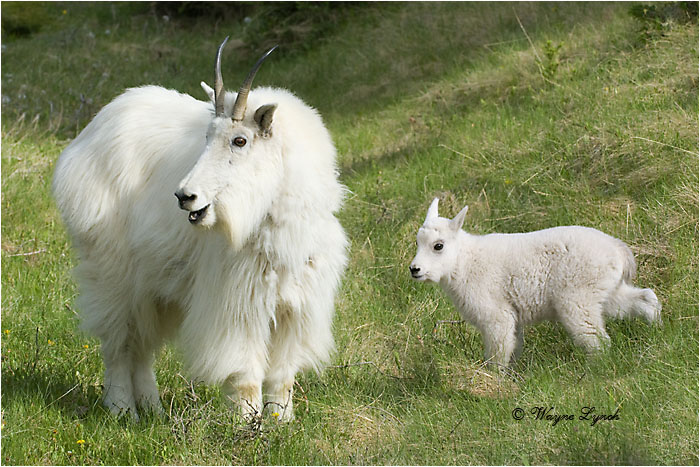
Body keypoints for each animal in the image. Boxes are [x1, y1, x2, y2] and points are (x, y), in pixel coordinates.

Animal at [52, 38, 348, 421]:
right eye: (206, 137)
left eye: (240, 141)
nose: (185, 196)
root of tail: (86, 139)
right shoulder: (236, 303)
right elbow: (244, 371)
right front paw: (247, 424)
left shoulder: (295, 306)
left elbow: (283, 374)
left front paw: (282, 422)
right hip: (111, 274)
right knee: (118, 341)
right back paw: (123, 410)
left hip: (157, 287)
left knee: (141, 346)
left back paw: (153, 410)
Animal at [409, 198, 661, 368]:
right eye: (417, 242)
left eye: (438, 246)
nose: (414, 269)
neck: (464, 262)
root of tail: (619, 251)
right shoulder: (513, 315)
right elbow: (514, 345)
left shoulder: (495, 314)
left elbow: (498, 352)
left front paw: (493, 380)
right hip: (606, 291)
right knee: (644, 299)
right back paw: (657, 328)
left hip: (578, 297)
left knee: (597, 339)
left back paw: (595, 370)